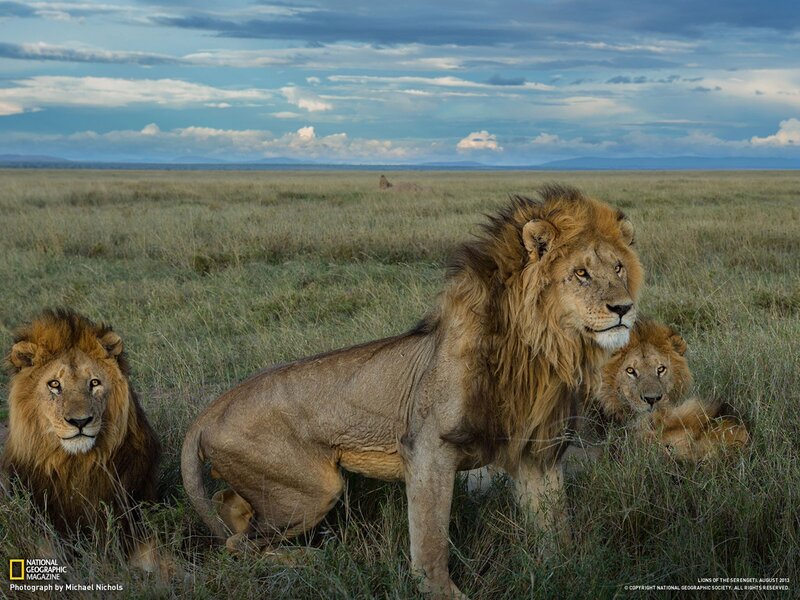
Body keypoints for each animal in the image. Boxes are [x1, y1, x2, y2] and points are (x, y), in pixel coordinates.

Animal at [182, 185, 643, 598]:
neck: (541, 349)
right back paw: (309, 559)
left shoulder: (538, 452)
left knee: (229, 509)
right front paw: (441, 592)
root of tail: (210, 410)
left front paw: (570, 572)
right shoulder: (427, 446)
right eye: (581, 273)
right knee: (236, 544)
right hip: (314, 488)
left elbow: (554, 526)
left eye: (619, 268)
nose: (624, 309)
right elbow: (430, 536)